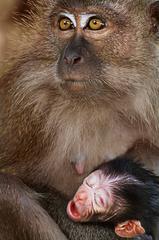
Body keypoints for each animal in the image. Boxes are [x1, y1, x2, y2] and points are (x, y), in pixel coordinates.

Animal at [0, 0, 159, 239]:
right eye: (65, 24)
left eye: (95, 23)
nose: (69, 57)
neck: (104, 98)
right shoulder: (26, 104)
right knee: (8, 191)